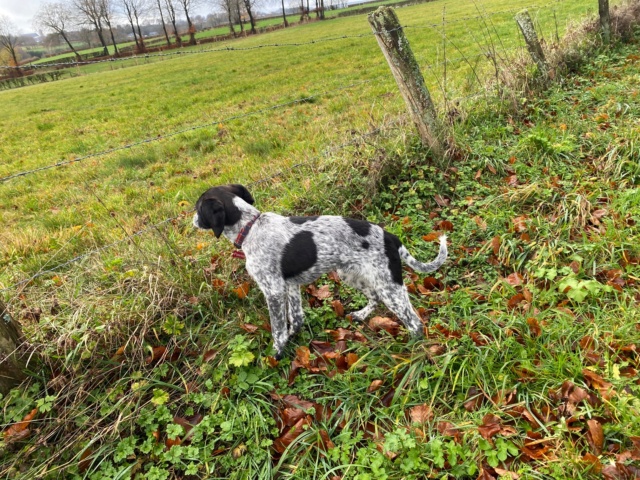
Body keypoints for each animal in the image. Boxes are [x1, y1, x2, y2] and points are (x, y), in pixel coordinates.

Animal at [192, 185, 448, 360]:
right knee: (374, 298)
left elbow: (278, 329)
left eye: (198, 208)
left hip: (389, 286)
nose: (192, 220)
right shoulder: (290, 286)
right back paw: (361, 315)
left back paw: (411, 350)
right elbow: (296, 319)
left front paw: (276, 354)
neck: (250, 227)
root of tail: (390, 237)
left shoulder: (273, 291)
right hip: (353, 275)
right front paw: (292, 339)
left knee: (415, 322)